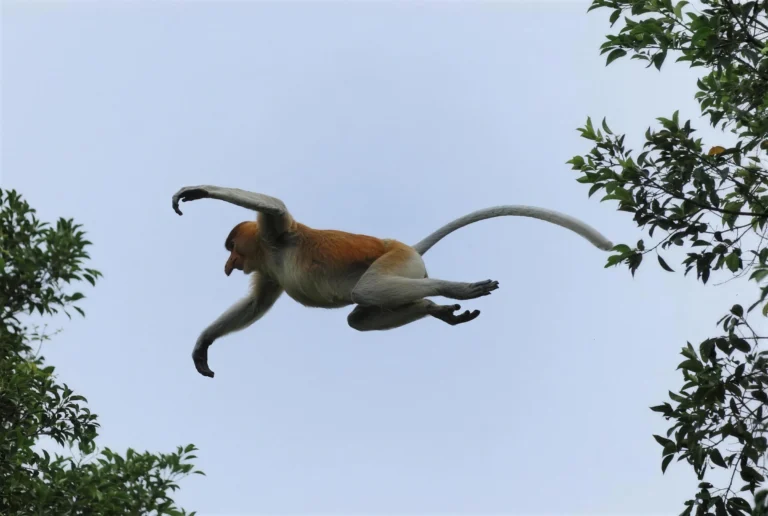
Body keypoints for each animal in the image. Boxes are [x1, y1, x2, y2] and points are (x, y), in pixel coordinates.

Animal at [172, 185, 613, 378]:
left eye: (232, 246)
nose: (229, 263)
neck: (268, 252)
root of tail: (409, 247)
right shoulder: (267, 270)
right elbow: (255, 305)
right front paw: (202, 346)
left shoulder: (277, 234)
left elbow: (274, 206)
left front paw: (195, 192)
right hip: (401, 270)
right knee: (360, 317)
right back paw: (436, 309)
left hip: (395, 260)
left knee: (366, 292)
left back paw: (454, 289)